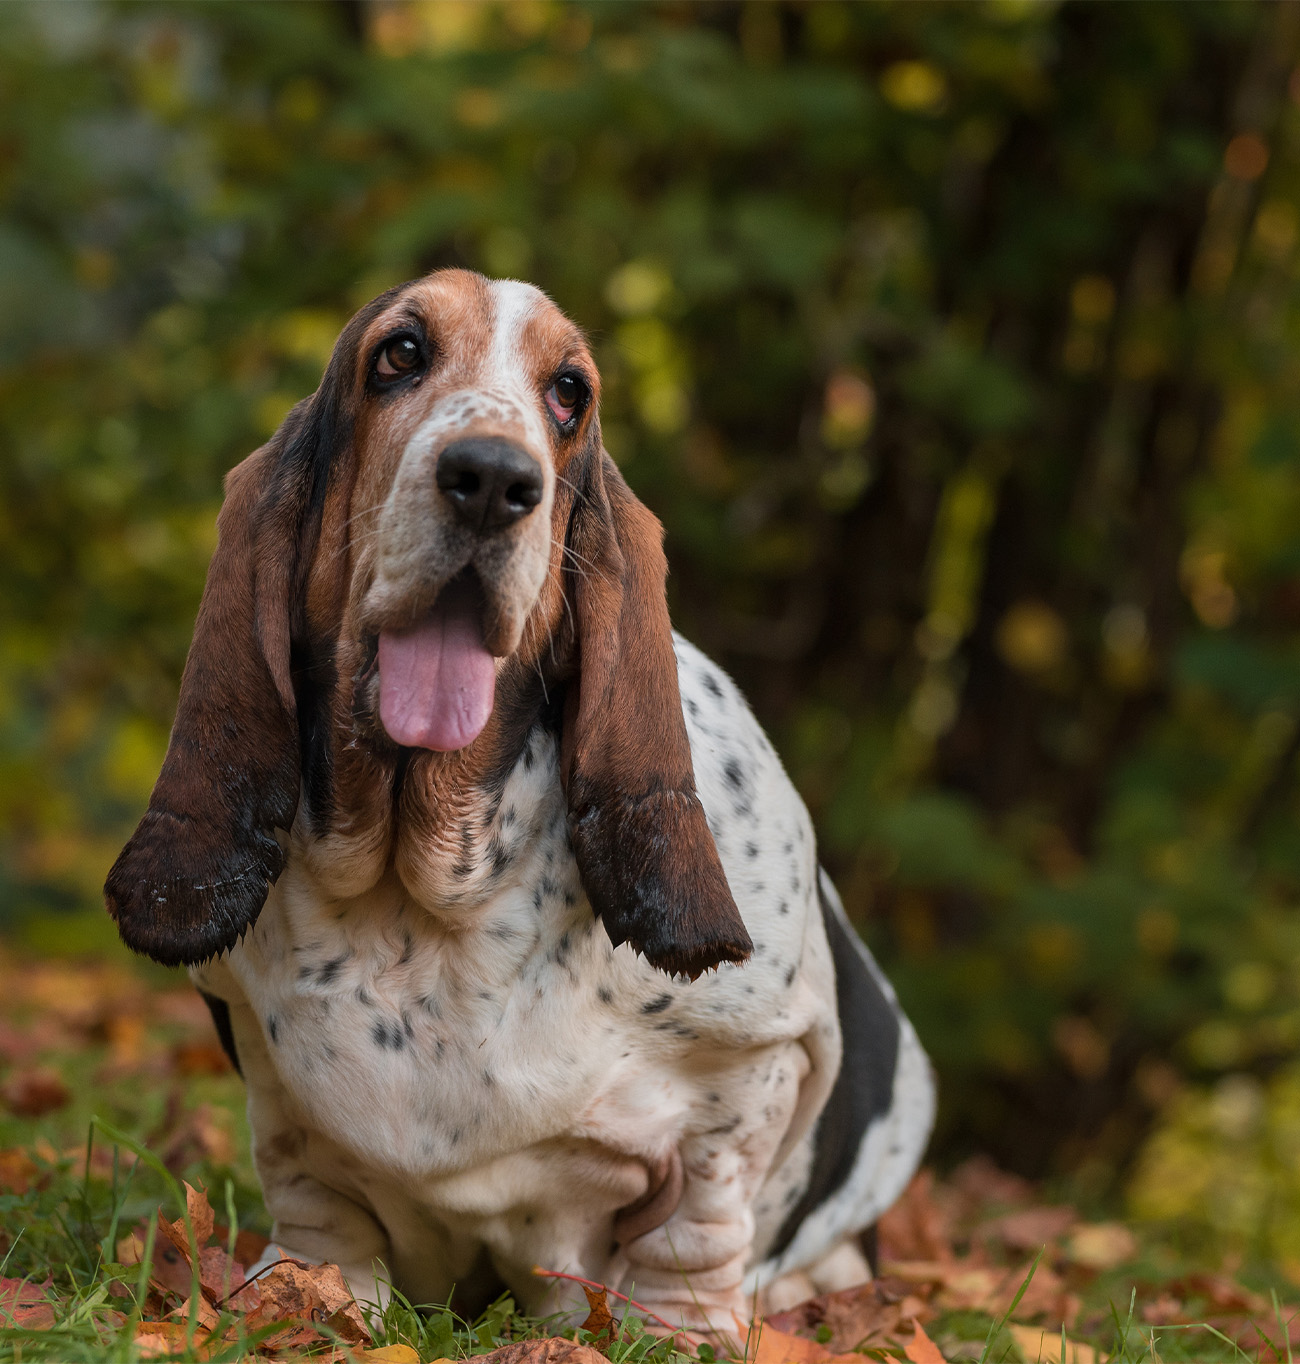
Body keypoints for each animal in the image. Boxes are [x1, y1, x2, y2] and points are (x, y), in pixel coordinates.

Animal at [104, 270, 934, 1333]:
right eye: (399, 354)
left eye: (569, 393)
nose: (495, 478)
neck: (425, 891)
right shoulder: (275, 1097)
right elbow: (317, 1204)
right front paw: (313, 1301)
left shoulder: (759, 1066)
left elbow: (698, 1220)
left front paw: (678, 1330)